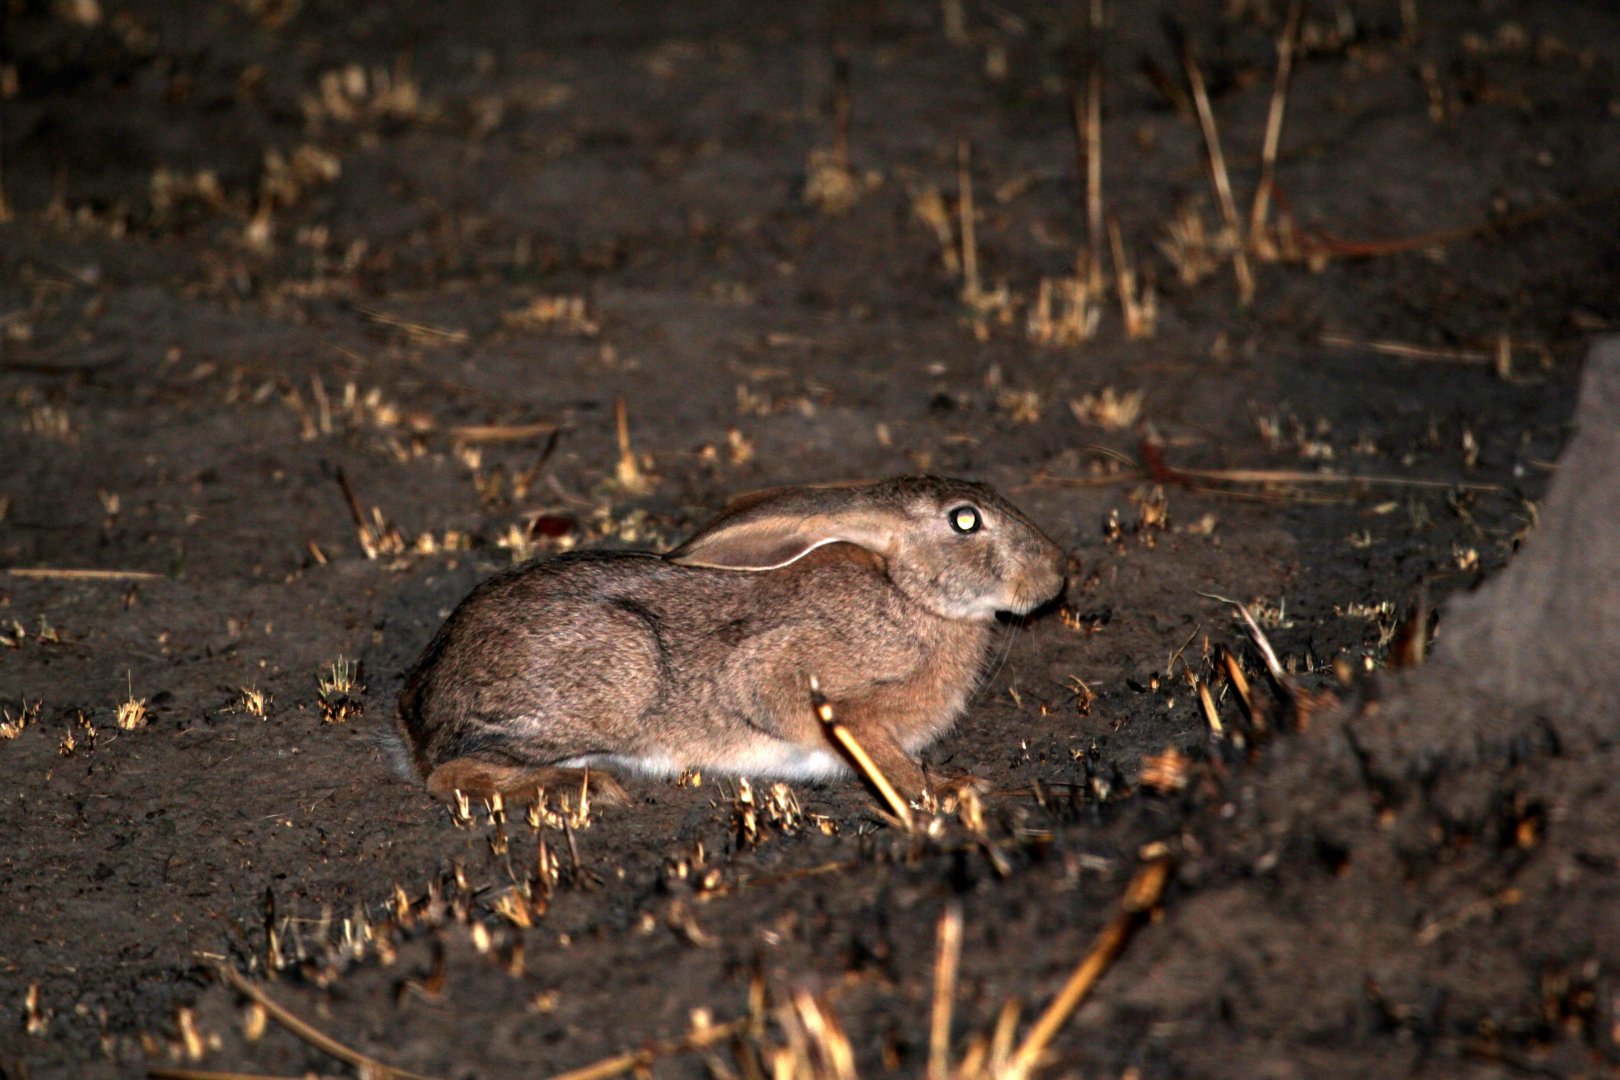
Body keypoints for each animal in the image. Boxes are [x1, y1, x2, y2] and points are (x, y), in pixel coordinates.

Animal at [392, 475, 1067, 805]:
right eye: (965, 520)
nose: (1059, 574)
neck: (909, 593)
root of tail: (418, 714)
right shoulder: (790, 675)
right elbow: (863, 739)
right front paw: (947, 789)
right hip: (617, 675)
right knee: (449, 775)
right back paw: (578, 788)